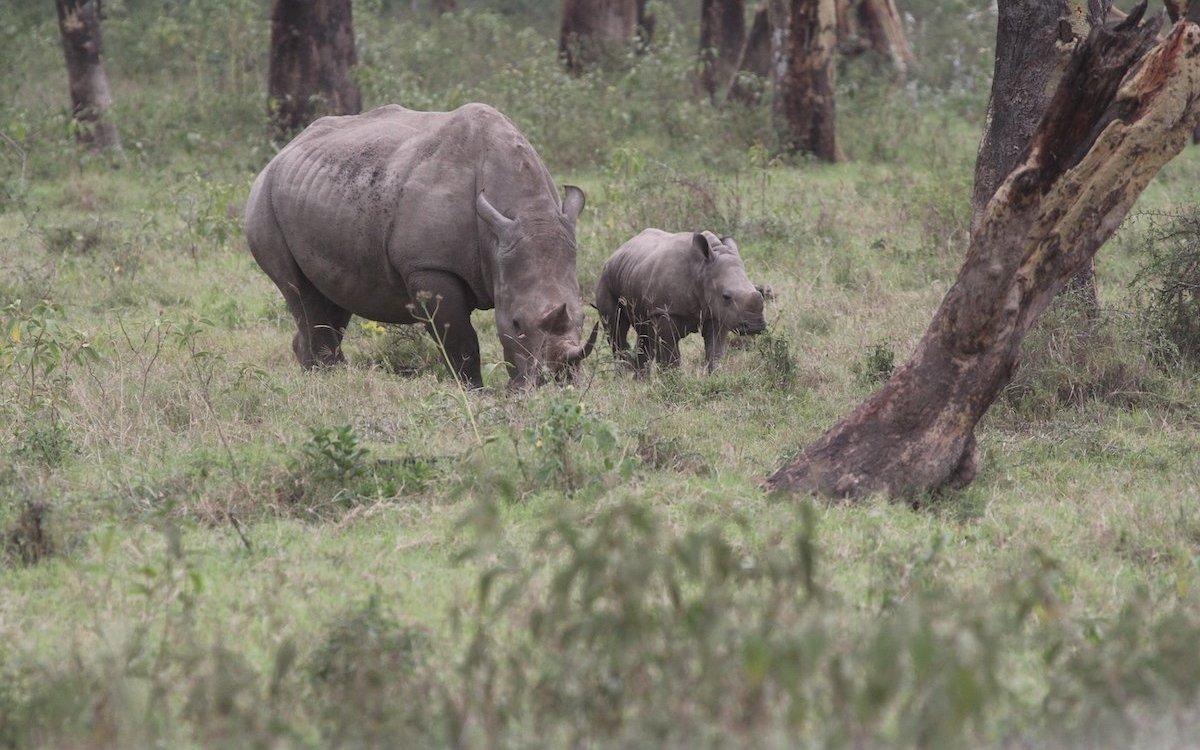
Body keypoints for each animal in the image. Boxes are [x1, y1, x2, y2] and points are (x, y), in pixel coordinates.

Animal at [592, 225, 768, 372]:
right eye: (726, 296)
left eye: (758, 291)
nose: (755, 326)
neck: (702, 269)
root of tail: (617, 251)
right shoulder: (665, 311)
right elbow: (671, 355)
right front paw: (672, 381)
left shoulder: (717, 313)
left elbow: (715, 351)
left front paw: (716, 375)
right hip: (606, 279)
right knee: (616, 328)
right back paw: (624, 377)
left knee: (645, 334)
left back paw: (639, 381)